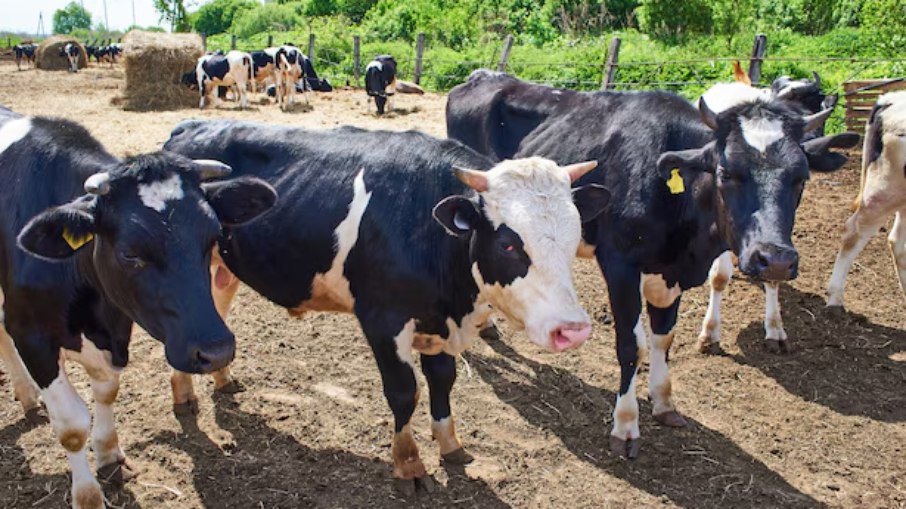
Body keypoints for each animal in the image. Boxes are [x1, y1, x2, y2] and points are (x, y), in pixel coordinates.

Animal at [0, 105, 276, 506]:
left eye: (213, 237)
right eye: (130, 253)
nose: (217, 351)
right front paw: (87, 495)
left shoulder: (116, 328)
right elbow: (71, 426)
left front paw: (109, 454)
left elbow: (107, 391)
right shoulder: (31, 333)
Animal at [162, 118, 608, 492]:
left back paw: (221, 379)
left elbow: (443, 380)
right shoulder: (382, 319)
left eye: (574, 237)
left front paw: (449, 443)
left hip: (225, 270)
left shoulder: (436, 321)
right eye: (509, 244)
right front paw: (409, 465)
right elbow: (404, 391)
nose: (573, 330)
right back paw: (184, 397)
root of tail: (191, 125)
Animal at [444, 70, 856, 456]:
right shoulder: (620, 265)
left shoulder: (670, 273)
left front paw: (663, 401)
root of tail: (483, 77)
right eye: (727, 173)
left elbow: (663, 337)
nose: (774, 260)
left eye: (801, 177)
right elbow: (631, 345)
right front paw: (626, 425)